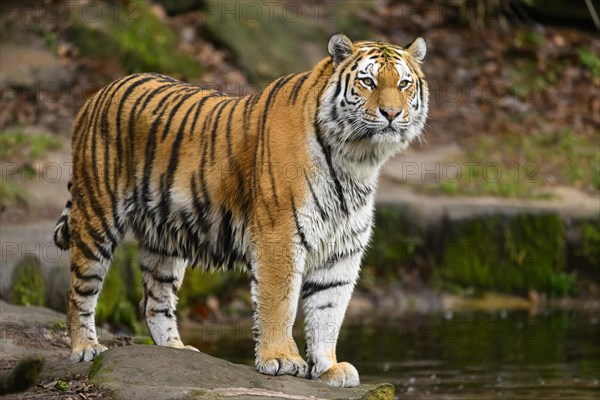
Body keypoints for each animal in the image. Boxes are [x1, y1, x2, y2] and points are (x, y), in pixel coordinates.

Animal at [51, 35, 426, 388]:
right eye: (368, 82)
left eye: (404, 84)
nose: (392, 114)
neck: (357, 160)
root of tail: (98, 93)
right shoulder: (279, 236)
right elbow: (280, 304)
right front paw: (281, 359)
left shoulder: (342, 250)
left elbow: (328, 312)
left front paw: (328, 368)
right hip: (97, 215)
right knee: (79, 290)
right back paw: (86, 348)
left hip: (164, 237)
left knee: (156, 299)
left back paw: (174, 350)